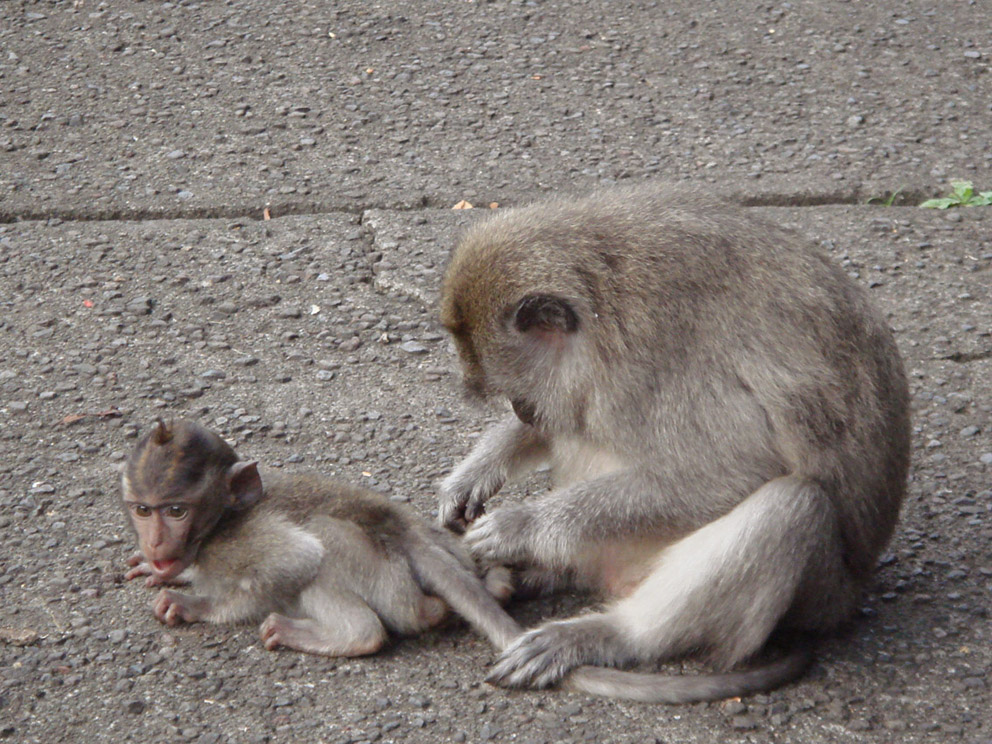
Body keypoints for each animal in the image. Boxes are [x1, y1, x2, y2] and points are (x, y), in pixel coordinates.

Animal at [122, 418, 520, 656]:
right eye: (143, 510)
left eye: (177, 511)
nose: (154, 542)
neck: (221, 520)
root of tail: (404, 532)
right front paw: (161, 570)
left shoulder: (237, 542)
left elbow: (296, 560)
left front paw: (195, 604)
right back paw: (495, 582)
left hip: (382, 579)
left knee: (324, 552)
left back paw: (345, 635)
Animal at [438, 182, 912, 704]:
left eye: (518, 395)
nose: (524, 414)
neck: (605, 301)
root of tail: (850, 597)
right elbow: (567, 426)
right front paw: (479, 470)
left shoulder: (659, 373)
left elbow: (733, 474)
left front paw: (519, 526)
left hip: (819, 598)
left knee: (793, 506)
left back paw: (609, 633)